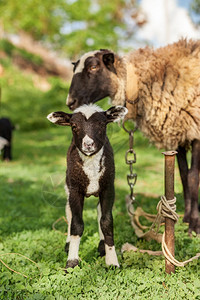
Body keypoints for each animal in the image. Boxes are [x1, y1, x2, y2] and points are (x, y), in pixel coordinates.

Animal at [47, 103, 127, 270]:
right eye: (74, 126)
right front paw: (72, 262)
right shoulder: (75, 190)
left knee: (99, 211)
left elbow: (106, 222)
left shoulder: (108, 188)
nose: (88, 144)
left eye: (102, 124)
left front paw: (112, 261)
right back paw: (68, 244)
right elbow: (76, 224)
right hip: (68, 185)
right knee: (69, 211)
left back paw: (102, 246)